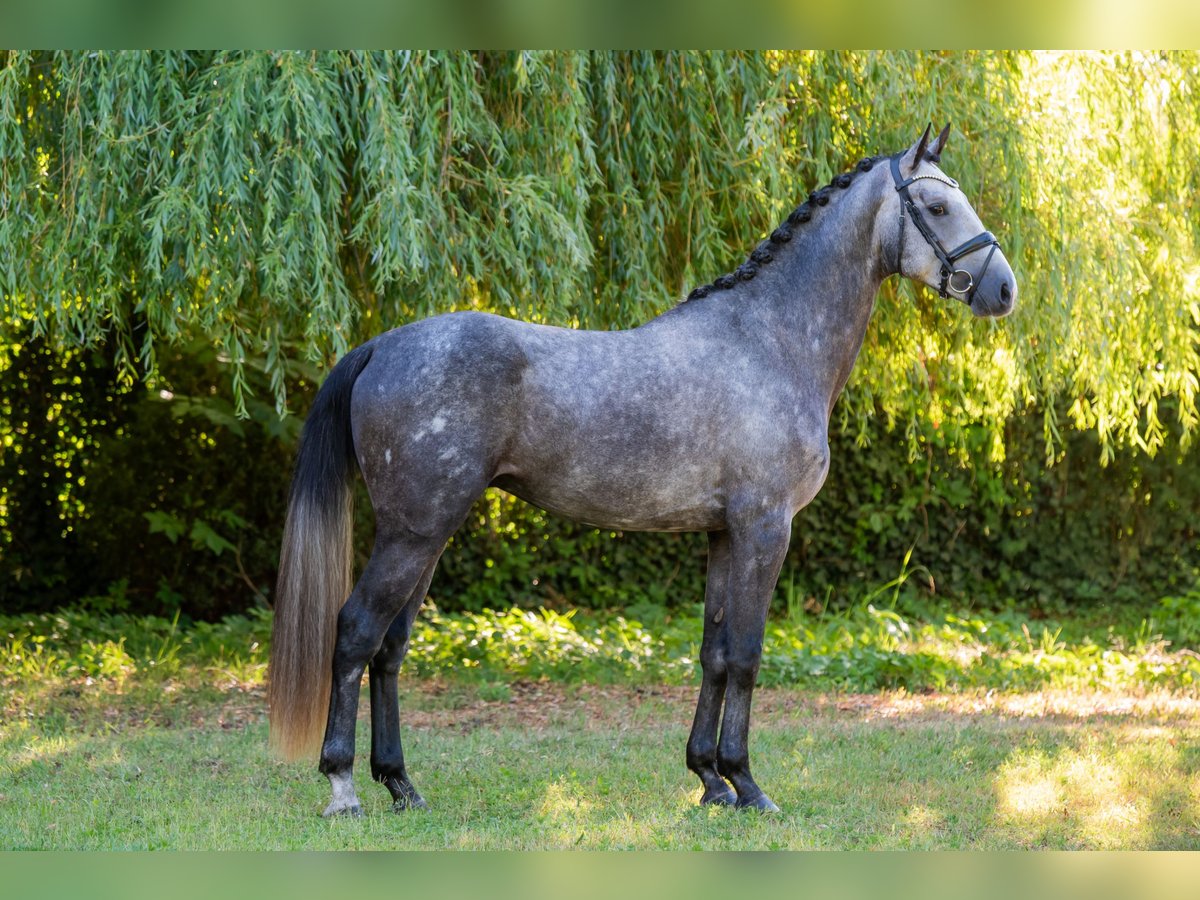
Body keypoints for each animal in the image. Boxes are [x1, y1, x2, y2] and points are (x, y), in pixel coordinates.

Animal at [267, 123, 1017, 817]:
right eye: (936, 205)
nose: (1004, 290)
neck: (768, 342)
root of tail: (382, 345)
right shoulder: (764, 529)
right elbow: (747, 654)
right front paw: (748, 785)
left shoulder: (723, 535)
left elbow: (714, 652)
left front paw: (709, 780)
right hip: (414, 532)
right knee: (355, 634)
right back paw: (342, 786)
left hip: (426, 535)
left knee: (389, 649)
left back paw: (401, 785)